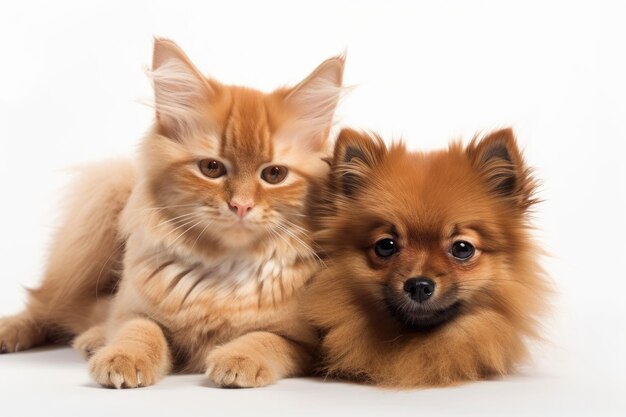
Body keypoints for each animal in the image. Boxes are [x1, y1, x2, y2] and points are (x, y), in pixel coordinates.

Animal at [0, 38, 344, 386]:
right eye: (211, 168)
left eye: (274, 174)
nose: (241, 205)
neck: (224, 272)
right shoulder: (132, 310)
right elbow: (140, 331)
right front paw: (123, 357)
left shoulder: (306, 345)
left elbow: (265, 339)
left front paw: (239, 359)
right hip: (105, 199)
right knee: (45, 304)